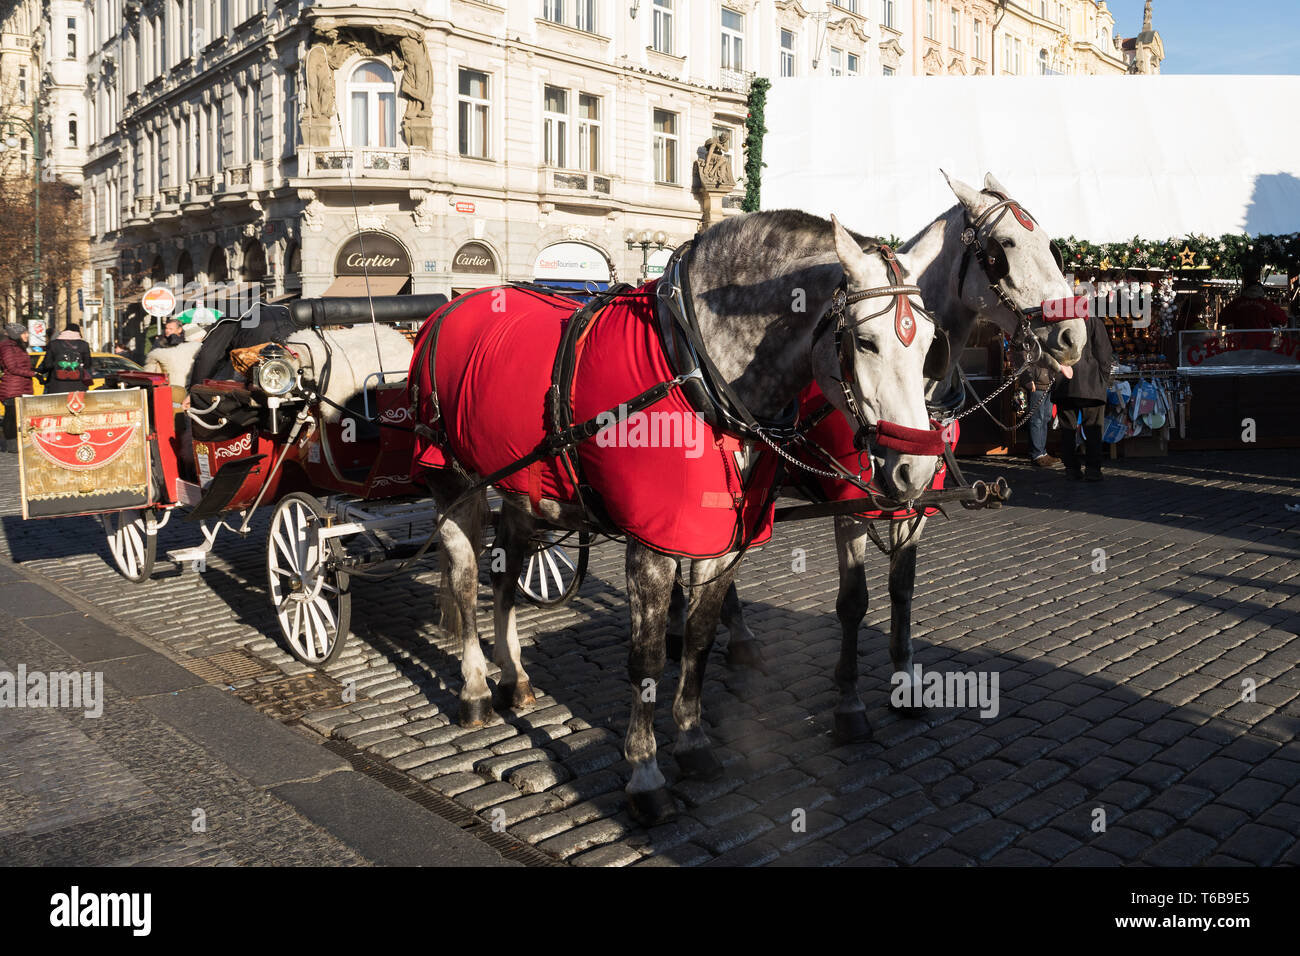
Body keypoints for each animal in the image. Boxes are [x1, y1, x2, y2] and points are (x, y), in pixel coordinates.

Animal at [426, 210, 946, 822]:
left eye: (930, 344)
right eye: (864, 341)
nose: (917, 468)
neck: (696, 372)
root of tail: (453, 305)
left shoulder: (718, 543)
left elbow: (698, 639)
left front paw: (693, 740)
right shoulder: (651, 548)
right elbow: (648, 659)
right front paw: (645, 771)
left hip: (523, 493)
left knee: (506, 574)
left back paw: (514, 676)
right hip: (454, 482)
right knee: (466, 579)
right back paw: (476, 689)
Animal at [676, 170, 1092, 738]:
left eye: (1051, 244)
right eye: (1003, 248)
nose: (1073, 335)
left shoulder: (914, 499)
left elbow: (902, 589)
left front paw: (907, 683)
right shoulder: (852, 504)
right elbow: (853, 603)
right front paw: (849, 702)